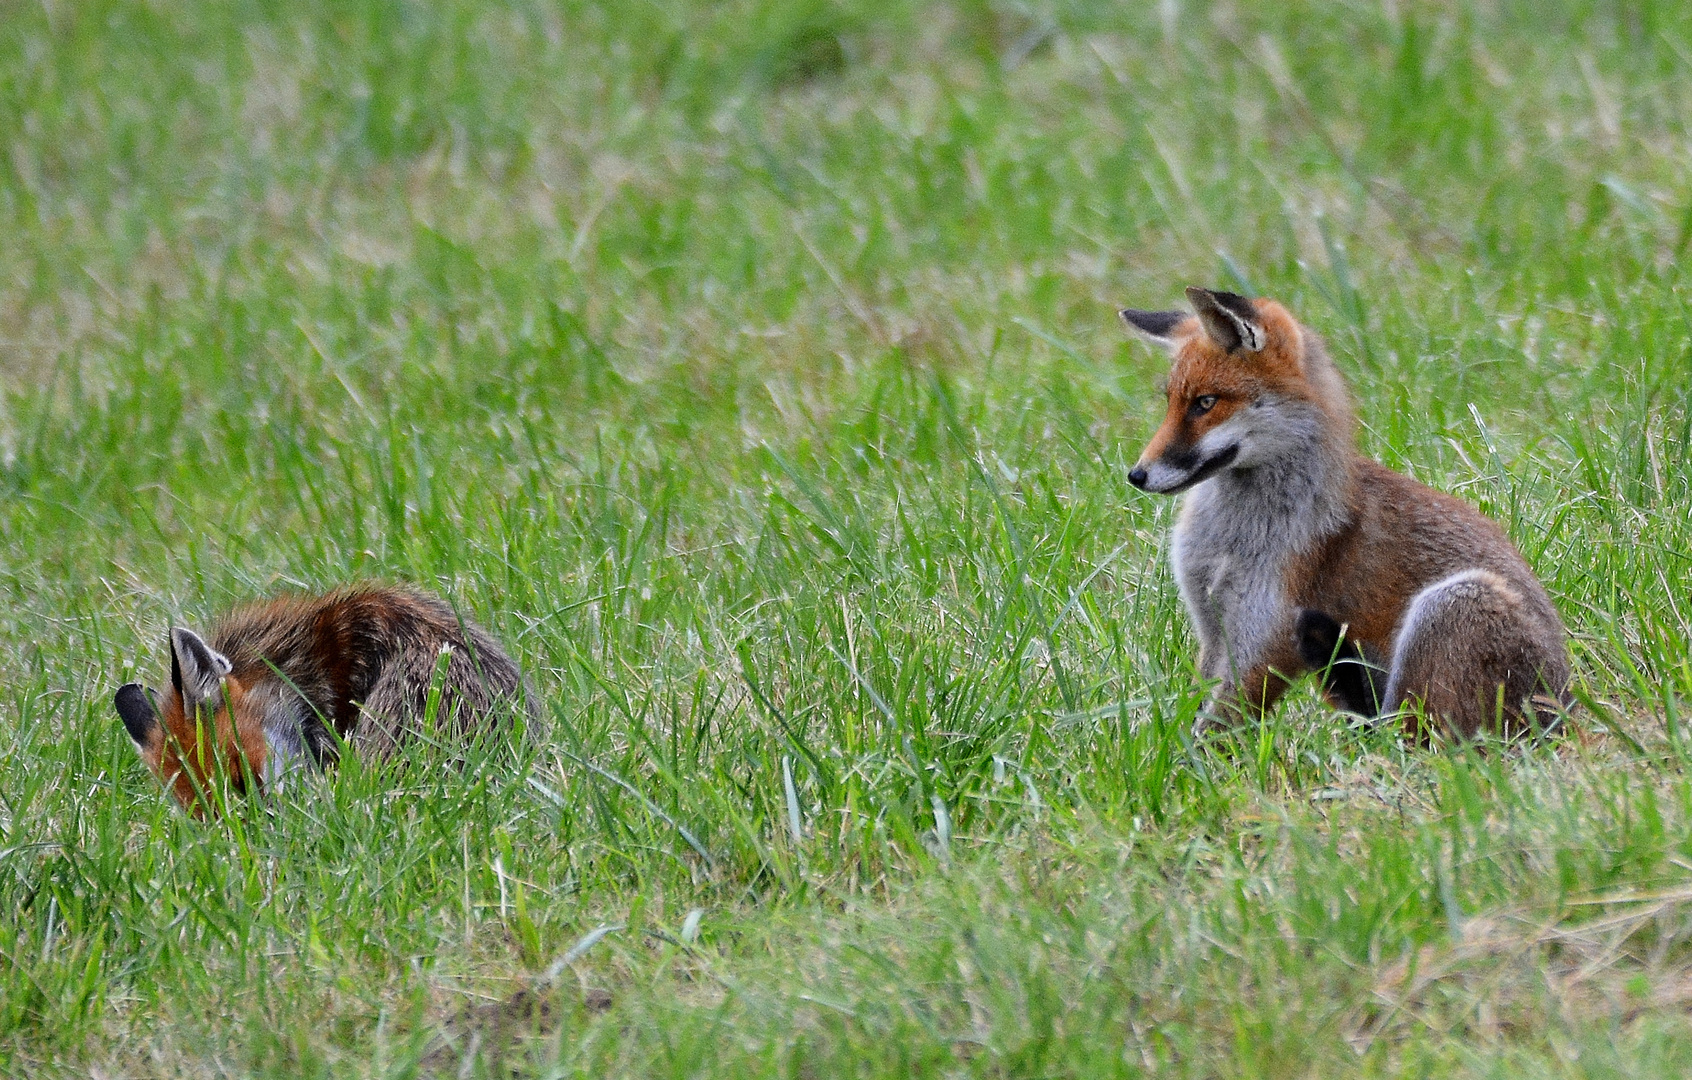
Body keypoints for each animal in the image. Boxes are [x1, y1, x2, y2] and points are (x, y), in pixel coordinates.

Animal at [1123, 287, 1570, 744]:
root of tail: (1564, 712)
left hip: (1451, 606)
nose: (1137, 475)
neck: (1231, 539)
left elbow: (1213, 733)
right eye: (1170, 403)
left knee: (1412, 741)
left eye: (1205, 403)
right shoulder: (1214, 629)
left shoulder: (1268, 636)